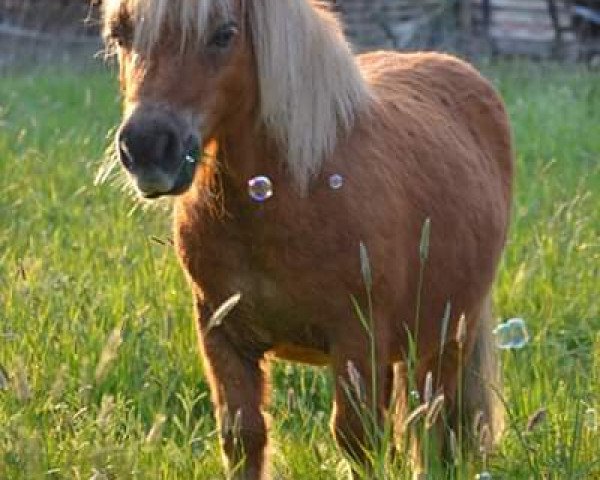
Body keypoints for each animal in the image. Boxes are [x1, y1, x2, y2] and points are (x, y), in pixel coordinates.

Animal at [101, 0, 512, 476]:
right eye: (120, 34)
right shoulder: (221, 335)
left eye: (224, 34)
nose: (147, 147)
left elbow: (358, 440)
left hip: (447, 338)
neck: (290, 193)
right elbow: (242, 436)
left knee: (434, 427)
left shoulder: (357, 340)